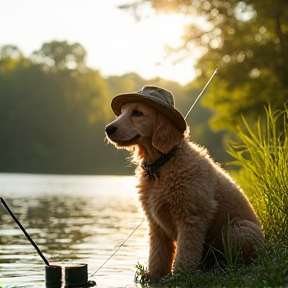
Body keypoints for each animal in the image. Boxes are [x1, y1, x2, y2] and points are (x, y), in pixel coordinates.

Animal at [104, 85, 264, 280]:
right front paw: (155, 275)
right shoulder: (156, 223)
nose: (108, 129)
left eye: (138, 113)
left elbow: (186, 251)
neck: (162, 165)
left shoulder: (191, 217)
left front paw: (181, 274)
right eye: (123, 112)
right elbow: (158, 252)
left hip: (237, 229)